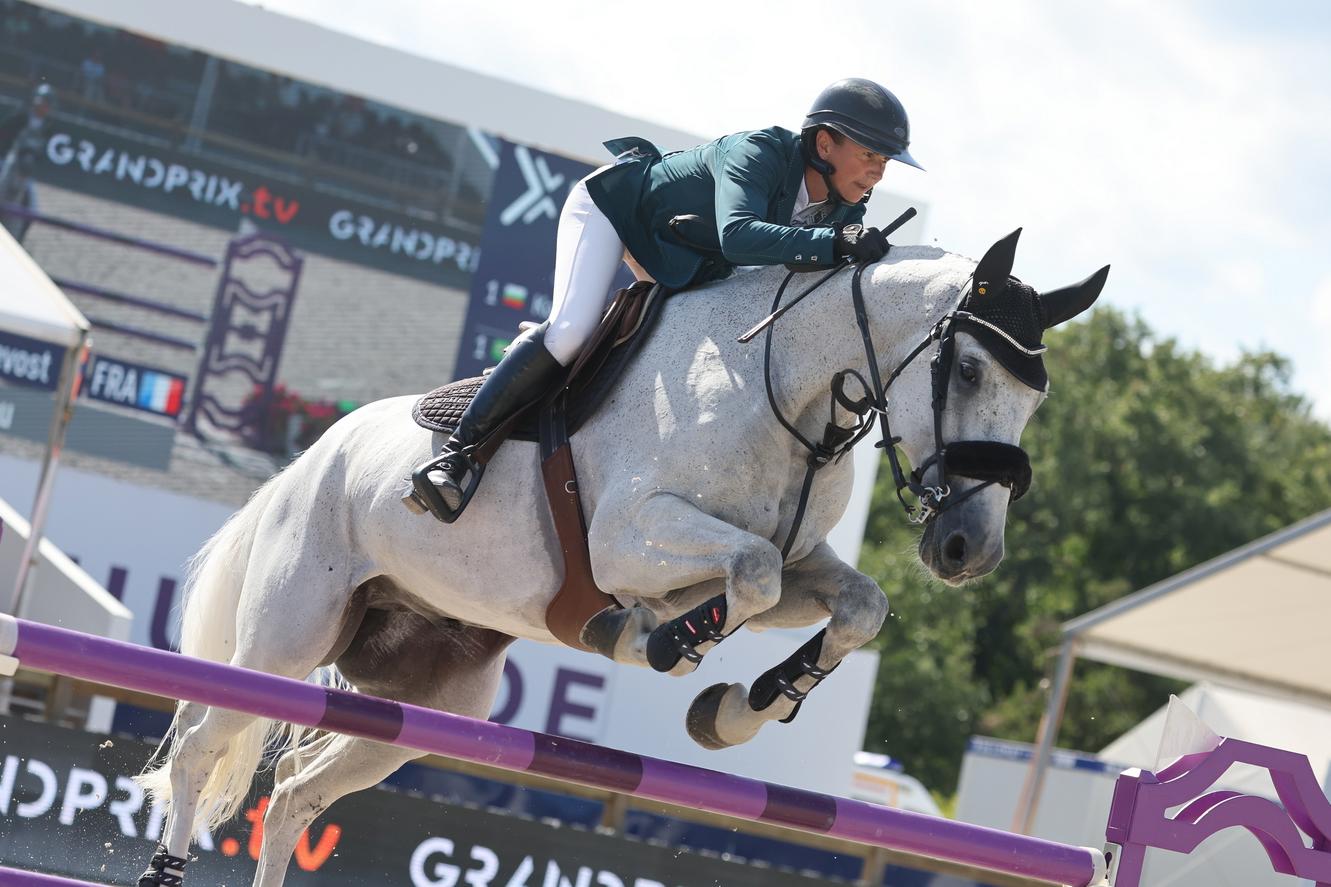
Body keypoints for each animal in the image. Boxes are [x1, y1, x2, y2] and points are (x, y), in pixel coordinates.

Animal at [137, 229, 1112, 884]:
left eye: (1036, 399)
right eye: (971, 372)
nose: (968, 549)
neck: (784, 388)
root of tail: (306, 460)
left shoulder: (798, 563)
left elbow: (850, 602)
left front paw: (742, 706)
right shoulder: (630, 536)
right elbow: (745, 574)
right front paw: (658, 642)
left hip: (432, 699)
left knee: (296, 790)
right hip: (286, 637)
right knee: (199, 747)